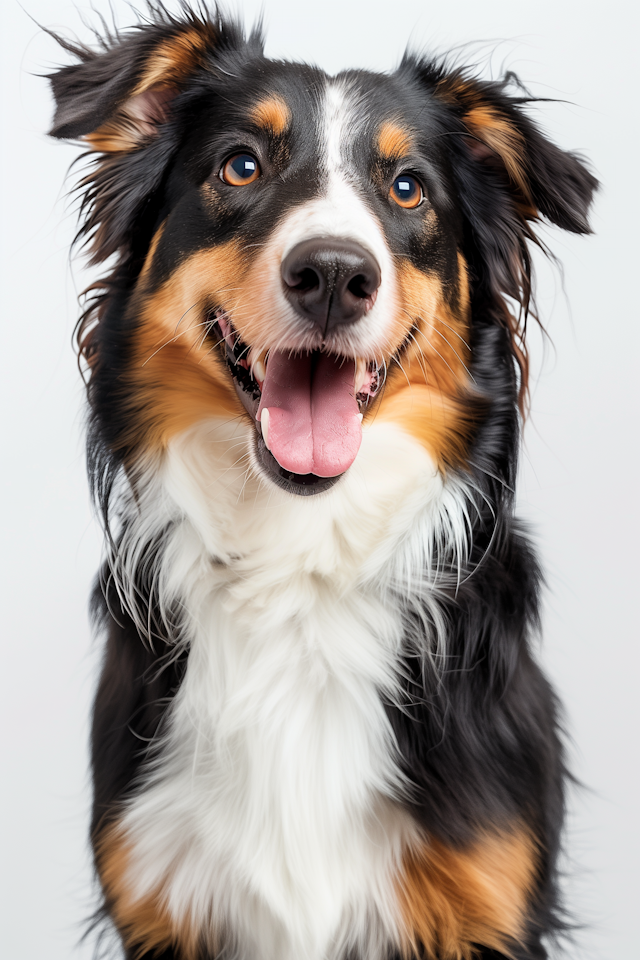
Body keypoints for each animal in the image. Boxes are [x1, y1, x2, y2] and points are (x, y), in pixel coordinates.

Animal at [47, 3, 596, 956]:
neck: (298, 565)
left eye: (408, 188)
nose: (335, 274)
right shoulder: (161, 890)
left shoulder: (487, 894)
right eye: (240, 165)